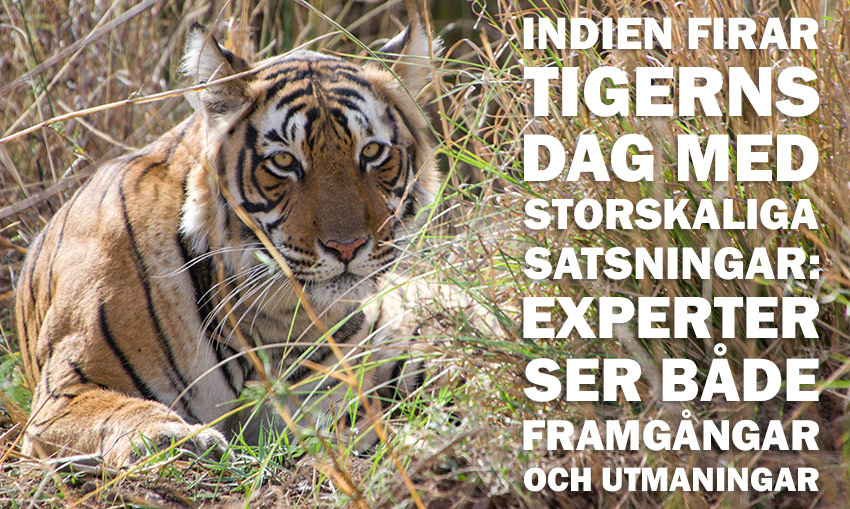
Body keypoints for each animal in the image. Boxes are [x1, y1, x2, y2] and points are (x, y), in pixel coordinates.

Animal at [14, 5, 440, 466]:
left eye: (372, 152)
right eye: (284, 161)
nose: (347, 247)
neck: (276, 321)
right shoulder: (63, 394)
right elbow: (120, 409)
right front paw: (171, 436)